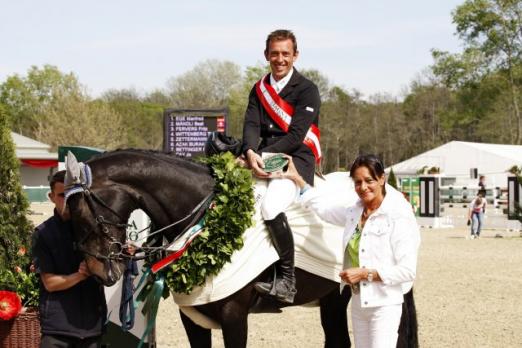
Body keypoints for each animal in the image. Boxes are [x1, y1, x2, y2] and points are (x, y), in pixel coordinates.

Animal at [65, 150, 416, 348]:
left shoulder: (235, 316)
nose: (98, 272)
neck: (208, 219)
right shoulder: (193, 317)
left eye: (82, 213)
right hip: (331, 298)